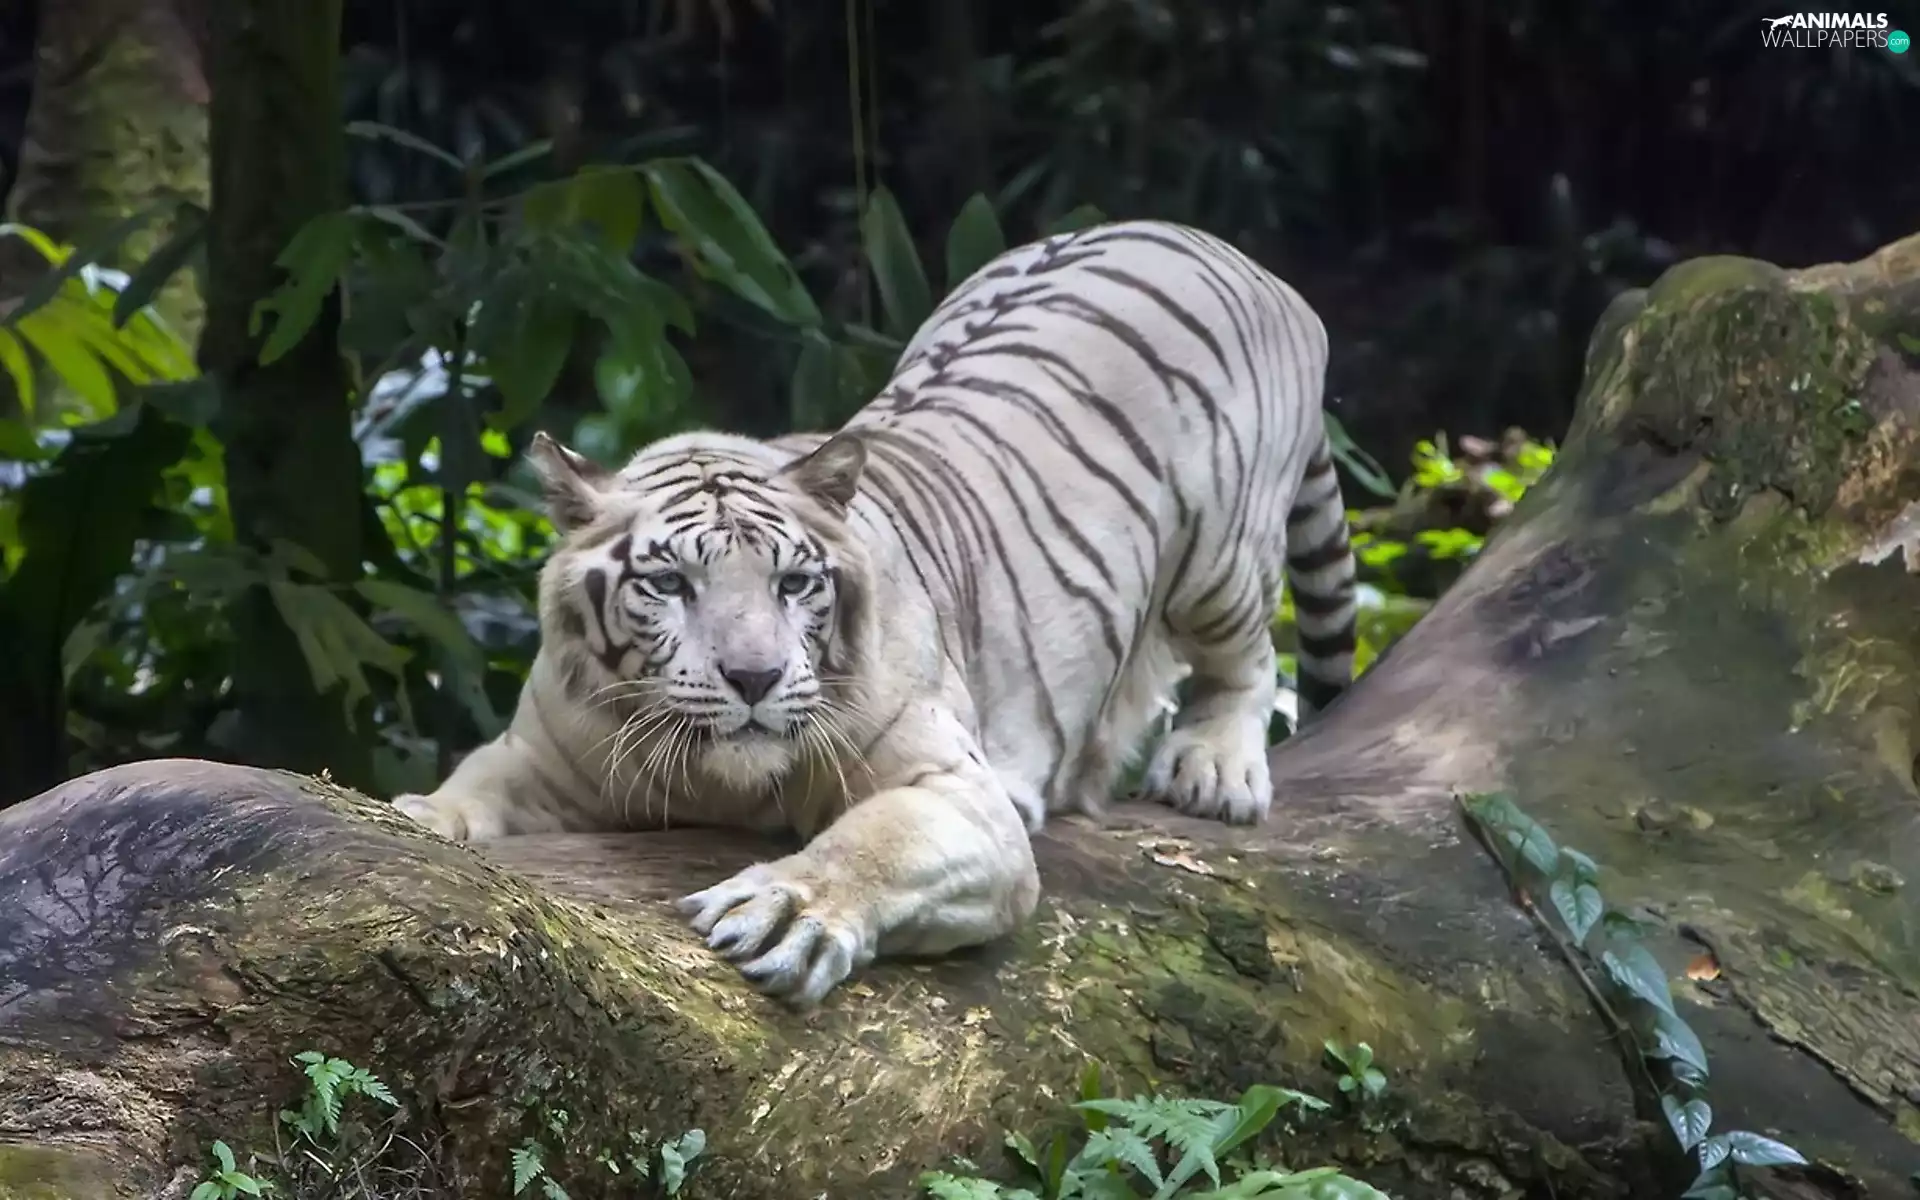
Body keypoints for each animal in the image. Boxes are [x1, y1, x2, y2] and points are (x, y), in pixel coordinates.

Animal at [392, 218, 1359, 1008]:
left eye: (793, 583)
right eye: (669, 585)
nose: (754, 678)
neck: (717, 782)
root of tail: (1217, 246)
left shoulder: (955, 787)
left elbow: (876, 842)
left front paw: (789, 907)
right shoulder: (540, 757)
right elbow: (464, 793)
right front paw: (415, 822)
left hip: (1221, 559)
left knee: (1248, 660)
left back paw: (1214, 767)